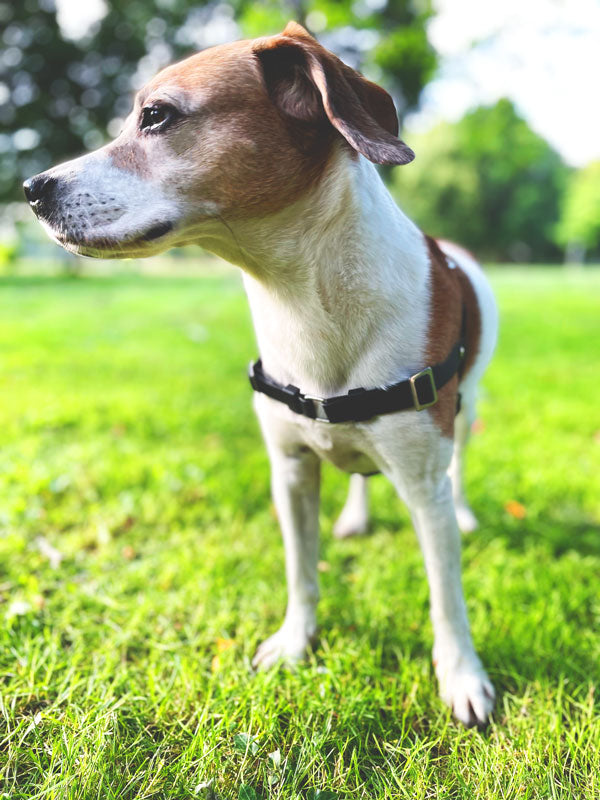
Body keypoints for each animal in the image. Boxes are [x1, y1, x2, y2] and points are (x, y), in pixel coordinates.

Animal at [24, 21, 496, 728]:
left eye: (156, 116)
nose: (30, 189)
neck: (305, 304)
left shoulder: (421, 485)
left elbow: (446, 596)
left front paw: (463, 675)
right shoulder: (291, 471)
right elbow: (302, 572)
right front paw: (296, 642)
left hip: (465, 413)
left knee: (459, 465)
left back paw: (464, 510)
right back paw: (355, 516)